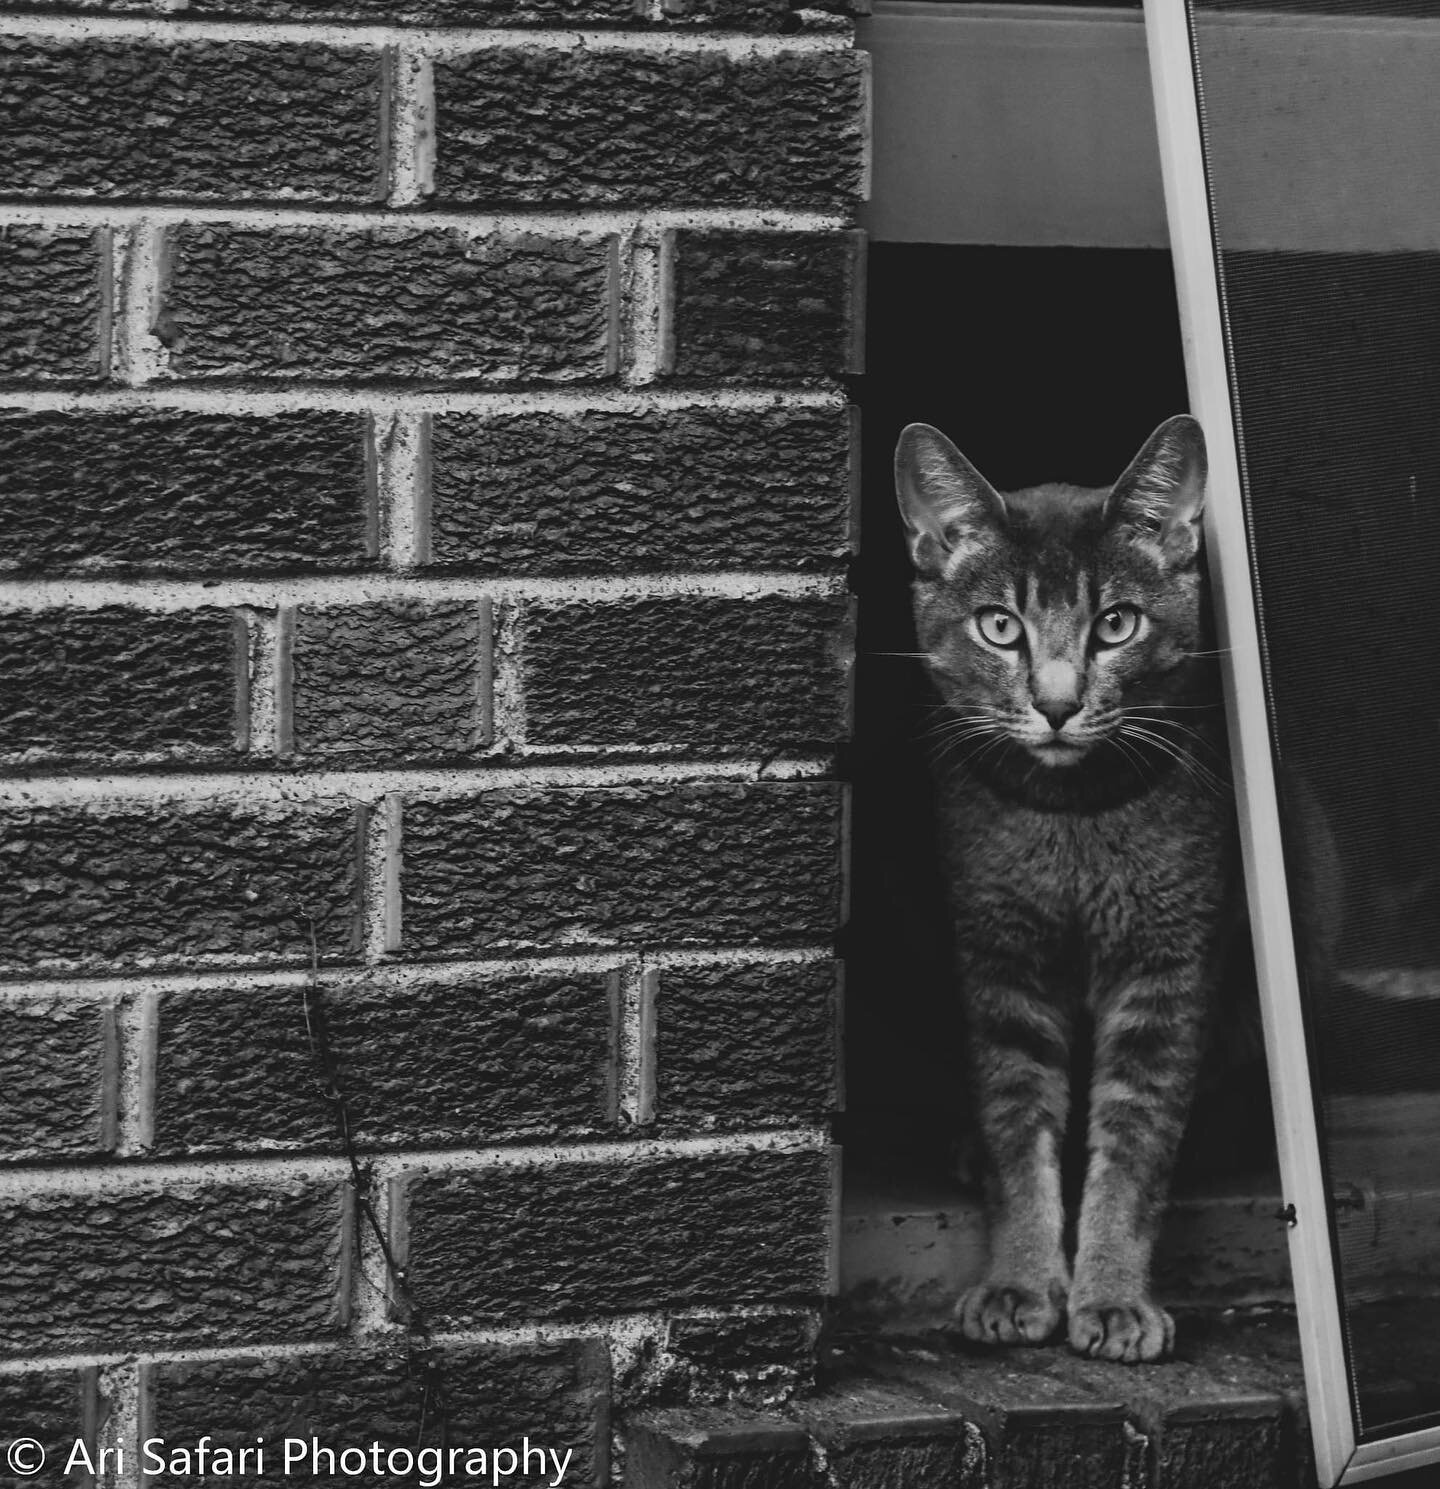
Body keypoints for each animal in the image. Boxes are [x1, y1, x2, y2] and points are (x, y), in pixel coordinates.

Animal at [887, 410, 1238, 1363]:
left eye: (1114, 623)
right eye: (999, 626)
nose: (1055, 703)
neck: (1073, 821)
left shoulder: (1168, 967)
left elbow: (1134, 1146)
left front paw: (1112, 1296)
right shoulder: (1000, 961)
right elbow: (1019, 1137)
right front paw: (1018, 1283)